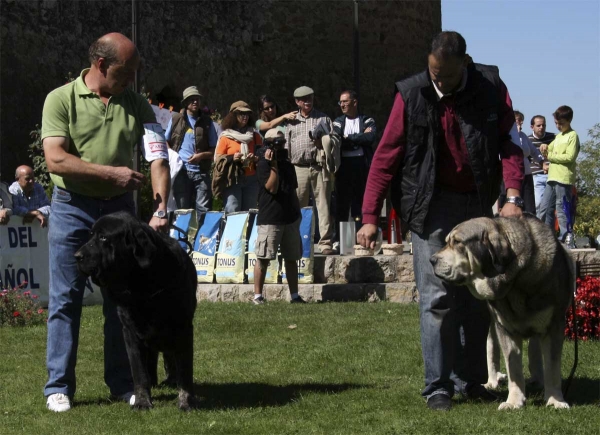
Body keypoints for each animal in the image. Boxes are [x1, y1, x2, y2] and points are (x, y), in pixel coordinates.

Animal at [74, 213, 197, 410]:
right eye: (91, 235)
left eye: (103, 237)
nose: (77, 256)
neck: (141, 283)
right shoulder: (130, 331)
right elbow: (139, 371)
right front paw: (141, 401)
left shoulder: (183, 327)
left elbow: (185, 369)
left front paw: (186, 401)